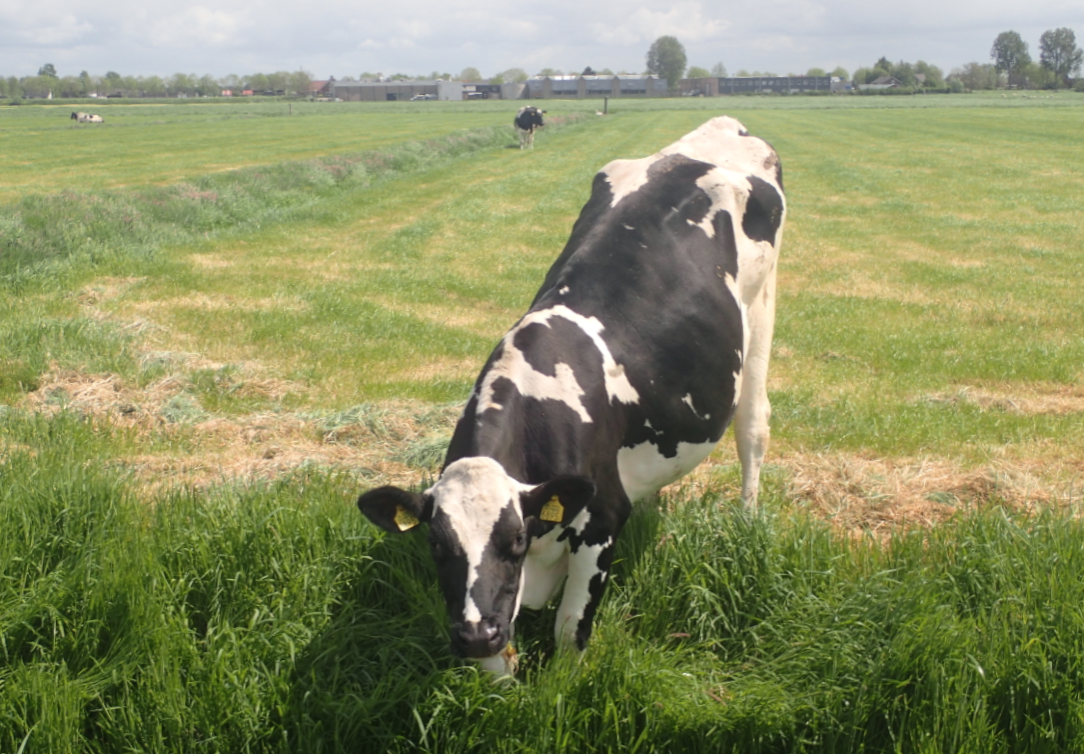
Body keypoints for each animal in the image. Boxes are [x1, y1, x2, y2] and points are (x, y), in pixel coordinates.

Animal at [357, 114, 789, 676]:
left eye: (516, 538)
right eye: (435, 544)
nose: (473, 634)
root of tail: (723, 126)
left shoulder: (601, 519)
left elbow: (569, 630)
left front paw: (562, 686)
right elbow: (500, 659)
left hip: (761, 309)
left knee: (753, 427)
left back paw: (746, 516)